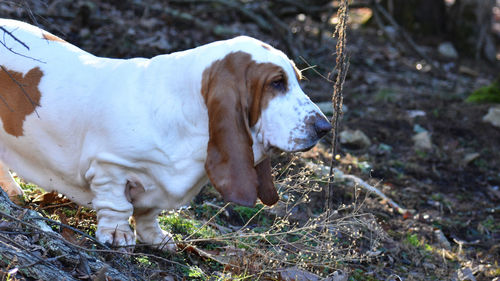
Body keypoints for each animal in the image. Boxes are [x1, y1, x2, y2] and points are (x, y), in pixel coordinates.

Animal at [0, 18, 332, 249]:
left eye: (297, 79)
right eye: (276, 83)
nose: (324, 128)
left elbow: (149, 213)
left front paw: (156, 238)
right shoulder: (110, 167)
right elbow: (117, 204)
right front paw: (118, 235)